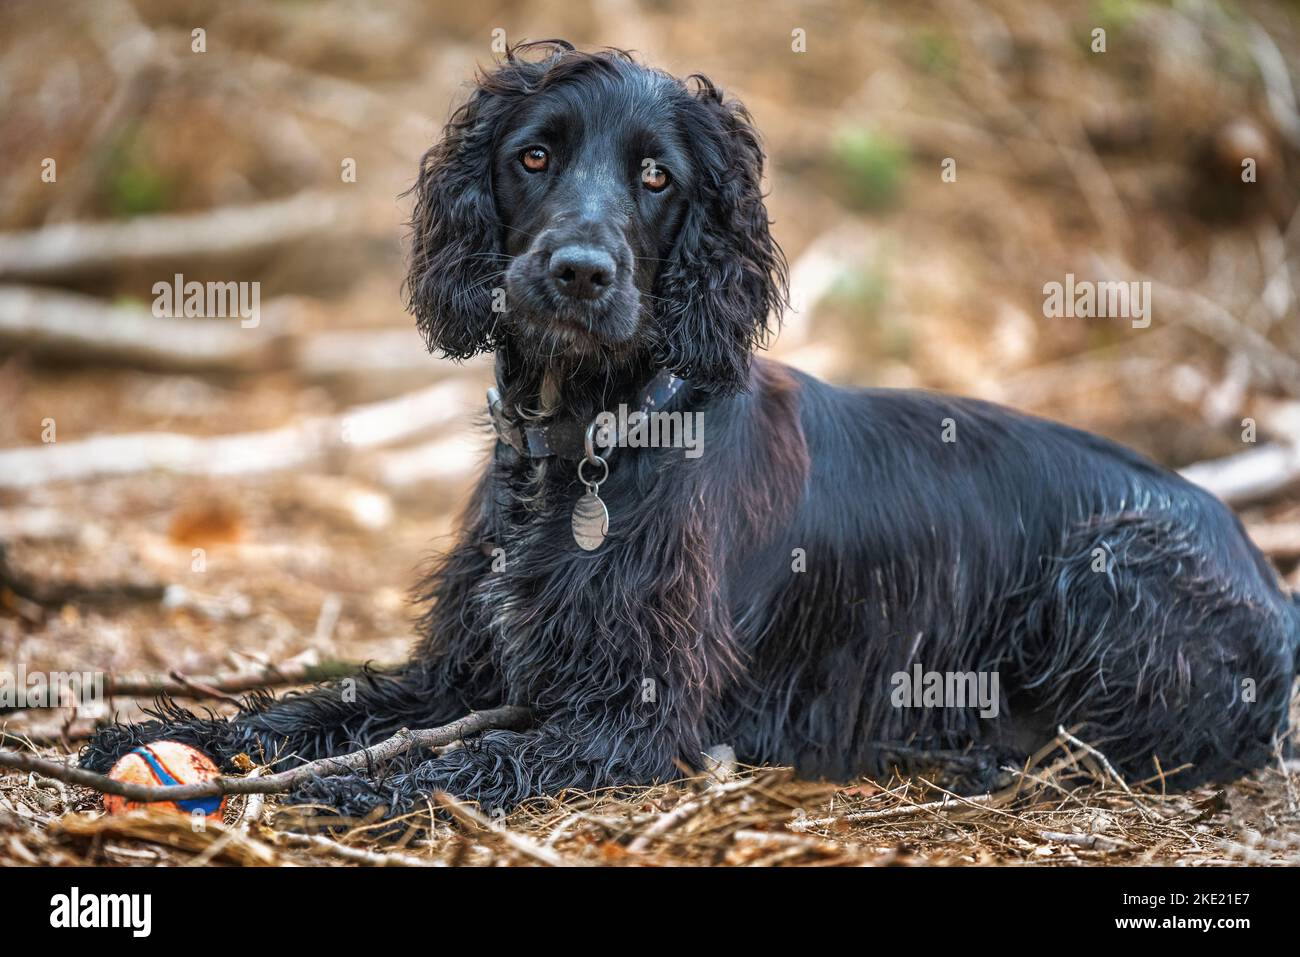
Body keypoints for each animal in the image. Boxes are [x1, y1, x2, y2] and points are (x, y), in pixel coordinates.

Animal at [86, 44, 1294, 816]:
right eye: (533, 156)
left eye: (658, 175)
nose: (580, 272)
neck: (585, 439)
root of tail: (1272, 589)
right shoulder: (467, 669)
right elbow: (319, 709)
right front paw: (157, 739)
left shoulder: (630, 717)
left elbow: (452, 763)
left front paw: (351, 786)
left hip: (1113, 561)